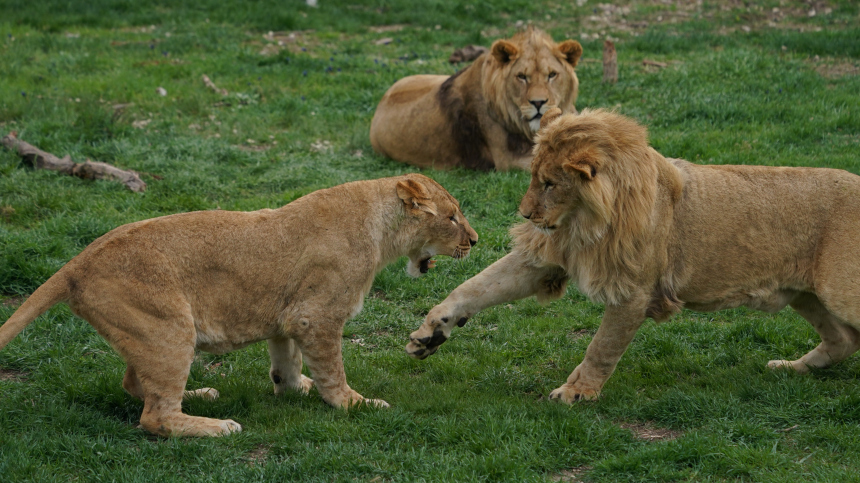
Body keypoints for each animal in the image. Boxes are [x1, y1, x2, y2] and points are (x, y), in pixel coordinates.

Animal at [0, 175, 478, 438]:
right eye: (452, 217)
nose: (474, 241)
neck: (380, 231)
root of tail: (76, 262)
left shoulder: (288, 319)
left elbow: (287, 364)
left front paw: (294, 388)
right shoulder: (317, 316)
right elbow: (333, 371)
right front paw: (353, 404)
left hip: (151, 334)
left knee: (135, 384)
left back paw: (199, 395)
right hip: (170, 328)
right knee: (154, 416)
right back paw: (217, 426)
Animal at [406, 108, 860, 402]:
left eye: (550, 183)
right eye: (533, 177)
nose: (525, 215)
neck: (585, 223)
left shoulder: (633, 292)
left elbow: (601, 347)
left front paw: (577, 392)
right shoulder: (544, 258)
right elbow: (475, 287)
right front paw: (431, 332)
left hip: (838, 292)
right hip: (807, 294)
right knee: (843, 340)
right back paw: (791, 368)